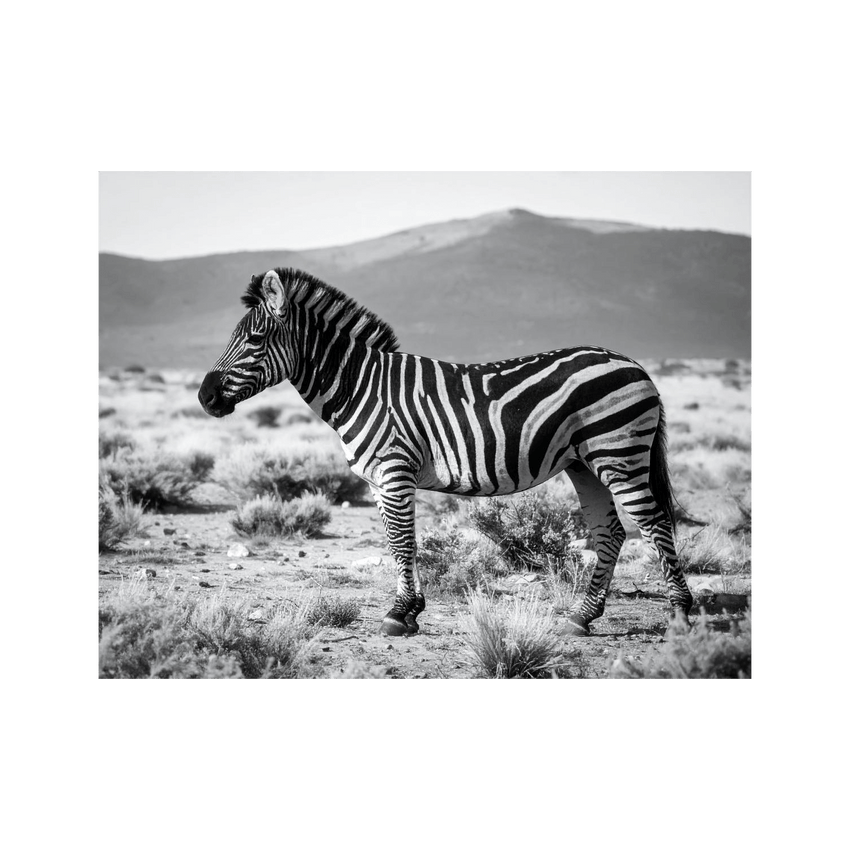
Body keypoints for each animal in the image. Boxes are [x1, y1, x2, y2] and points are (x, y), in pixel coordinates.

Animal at [199, 268, 693, 637]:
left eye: (255, 340)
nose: (205, 397)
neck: (360, 386)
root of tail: (635, 365)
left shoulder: (394, 469)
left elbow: (402, 541)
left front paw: (400, 613)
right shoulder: (379, 480)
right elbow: (397, 541)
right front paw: (412, 609)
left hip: (619, 454)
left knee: (654, 523)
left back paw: (681, 615)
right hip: (584, 464)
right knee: (611, 532)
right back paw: (581, 617)